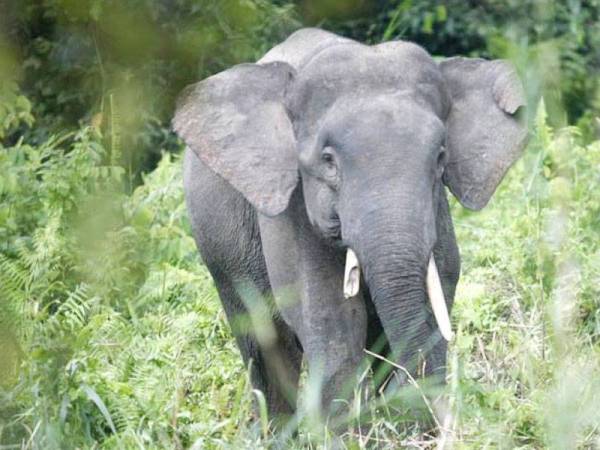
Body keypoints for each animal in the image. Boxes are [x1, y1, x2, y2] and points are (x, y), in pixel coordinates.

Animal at [172, 27, 524, 422]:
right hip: (220, 250)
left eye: (440, 157)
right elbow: (331, 322)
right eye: (328, 161)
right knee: (265, 343)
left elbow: (436, 296)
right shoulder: (293, 213)